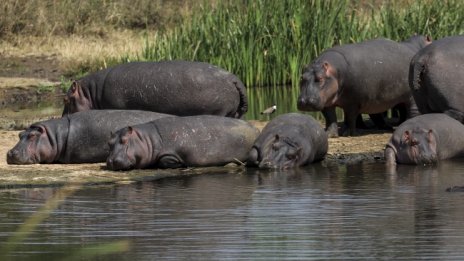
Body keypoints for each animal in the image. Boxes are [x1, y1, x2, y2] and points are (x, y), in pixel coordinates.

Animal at [63, 60, 248, 118]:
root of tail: (234, 79)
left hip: (220, 111)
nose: (62, 118)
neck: (90, 92)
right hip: (234, 112)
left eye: (65, 99)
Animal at [106, 115, 260, 170]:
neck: (147, 139)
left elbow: (165, 162)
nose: (111, 161)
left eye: (125, 140)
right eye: (109, 142)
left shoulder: (171, 154)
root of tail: (256, 129)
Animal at [298, 34, 432, 136]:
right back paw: (386, 127)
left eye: (320, 79)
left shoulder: (352, 102)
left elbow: (349, 117)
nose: (305, 101)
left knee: (412, 110)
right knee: (377, 115)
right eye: (301, 78)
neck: (335, 71)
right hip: (377, 100)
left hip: (410, 96)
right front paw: (329, 134)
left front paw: (347, 133)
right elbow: (330, 118)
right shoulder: (326, 101)